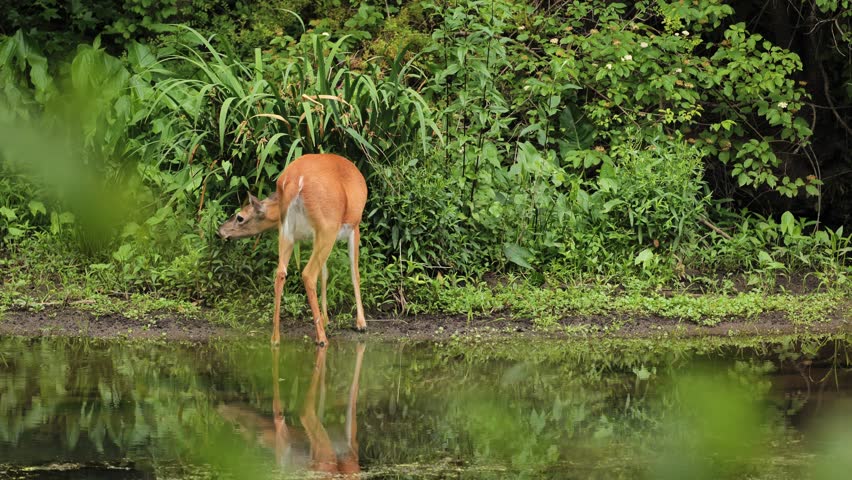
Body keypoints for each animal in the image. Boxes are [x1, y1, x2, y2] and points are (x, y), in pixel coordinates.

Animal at [217, 154, 368, 346]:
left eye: (239, 217)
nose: (220, 230)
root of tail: (294, 181)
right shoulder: (353, 226)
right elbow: (354, 273)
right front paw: (361, 323)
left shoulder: (315, 236)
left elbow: (326, 273)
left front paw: (326, 318)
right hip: (328, 226)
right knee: (308, 274)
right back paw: (321, 338)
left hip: (287, 231)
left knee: (280, 273)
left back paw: (275, 338)